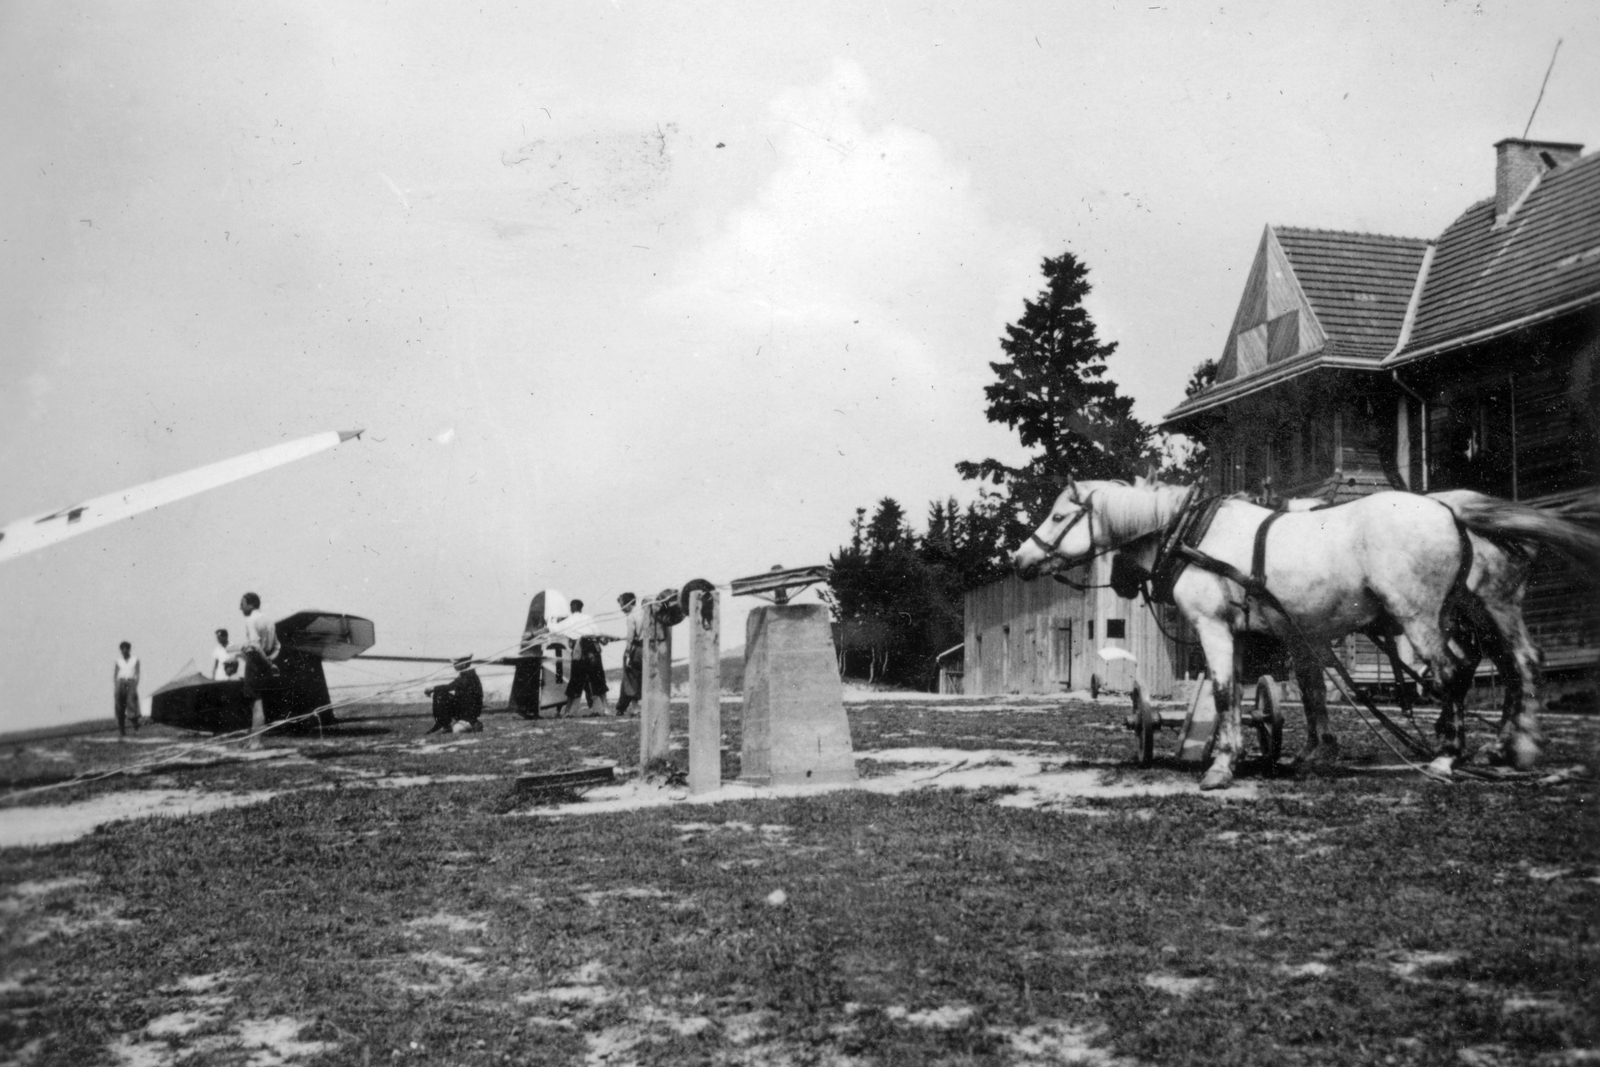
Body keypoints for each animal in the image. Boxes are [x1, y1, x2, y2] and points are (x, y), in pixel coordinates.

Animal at [1011, 479, 1600, 790]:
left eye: (1060, 515)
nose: (1018, 558)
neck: (1192, 535)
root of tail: (1447, 508)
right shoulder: (1279, 633)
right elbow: (1283, 693)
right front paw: (1275, 752)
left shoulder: (1214, 627)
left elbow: (1223, 691)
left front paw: (1220, 765)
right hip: (1487, 612)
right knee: (1519, 664)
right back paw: (1512, 747)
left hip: (1422, 614)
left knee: (1455, 673)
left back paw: (1447, 756)